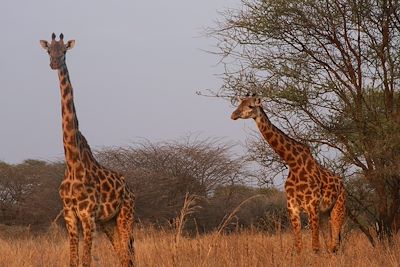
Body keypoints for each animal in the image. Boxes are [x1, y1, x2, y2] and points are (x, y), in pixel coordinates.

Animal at [40, 33, 136, 267]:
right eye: (49, 51)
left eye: (64, 50)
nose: (54, 63)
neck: (73, 163)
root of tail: (130, 189)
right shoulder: (69, 214)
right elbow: (73, 260)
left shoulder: (88, 215)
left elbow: (86, 260)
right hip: (108, 222)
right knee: (122, 255)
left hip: (125, 215)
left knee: (128, 255)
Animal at [233, 95, 346, 254]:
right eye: (239, 103)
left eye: (250, 106)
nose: (234, 115)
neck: (294, 163)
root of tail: (342, 183)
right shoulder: (293, 208)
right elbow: (299, 248)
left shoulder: (312, 206)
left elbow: (315, 248)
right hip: (324, 213)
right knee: (330, 246)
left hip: (338, 208)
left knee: (335, 244)